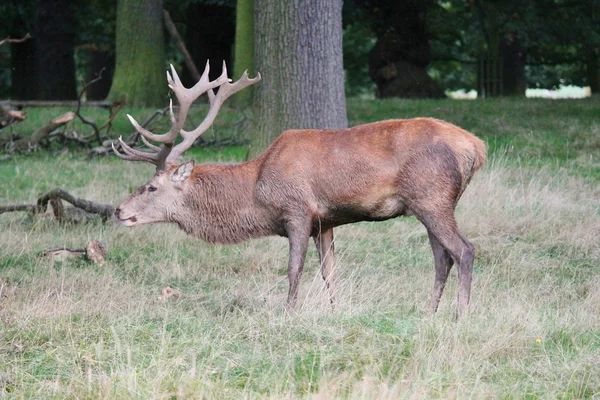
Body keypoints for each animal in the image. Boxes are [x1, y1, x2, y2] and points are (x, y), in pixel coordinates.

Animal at [113, 61, 488, 320]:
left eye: (151, 187)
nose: (118, 210)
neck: (257, 190)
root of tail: (476, 147)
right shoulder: (326, 222)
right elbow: (330, 272)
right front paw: (336, 312)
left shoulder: (297, 210)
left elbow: (294, 269)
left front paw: (288, 314)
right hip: (428, 204)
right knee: (442, 258)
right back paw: (429, 314)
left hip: (432, 197)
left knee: (464, 250)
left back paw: (460, 317)